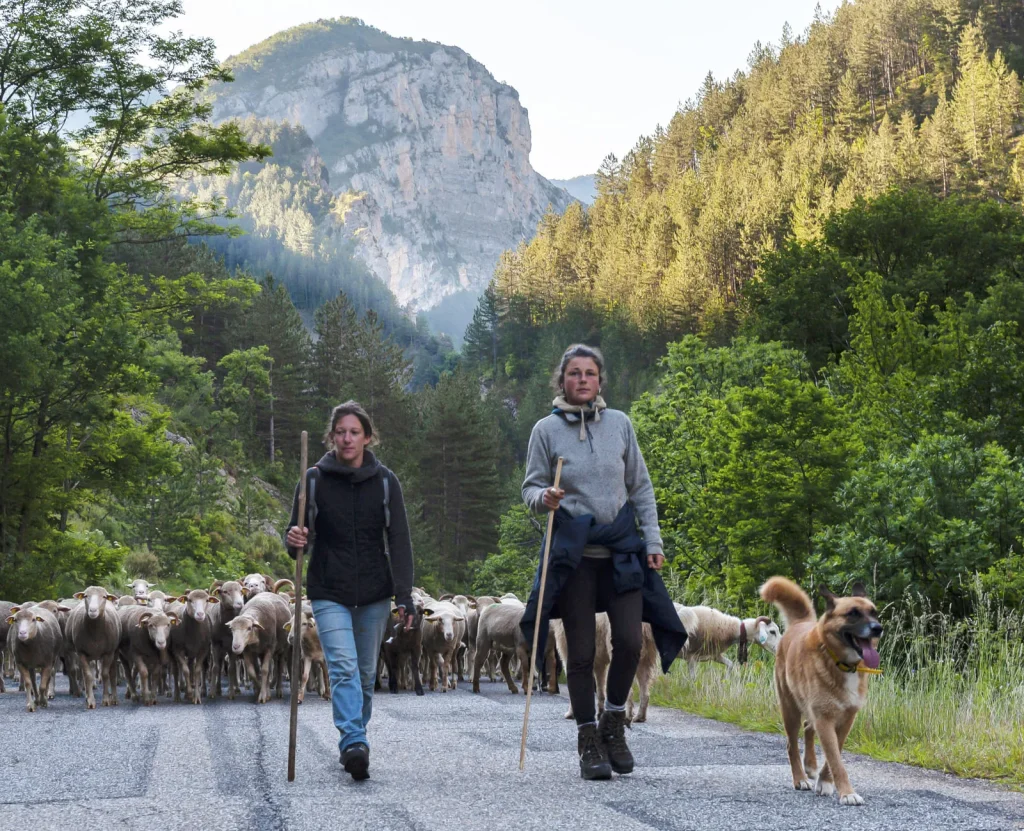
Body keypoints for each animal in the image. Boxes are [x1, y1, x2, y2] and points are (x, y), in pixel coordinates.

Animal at [761, 577, 880, 806]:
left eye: (874, 612)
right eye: (853, 613)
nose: (878, 628)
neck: (840, 663)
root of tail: (800, 622)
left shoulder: (846, 719)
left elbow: (835, 754)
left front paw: (825, 781)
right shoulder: (825, 719)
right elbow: (836, 760)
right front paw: (847, 792)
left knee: (808, 727)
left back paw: (810, 766)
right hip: (790, 709)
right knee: (791, 745)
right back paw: (800, 779)